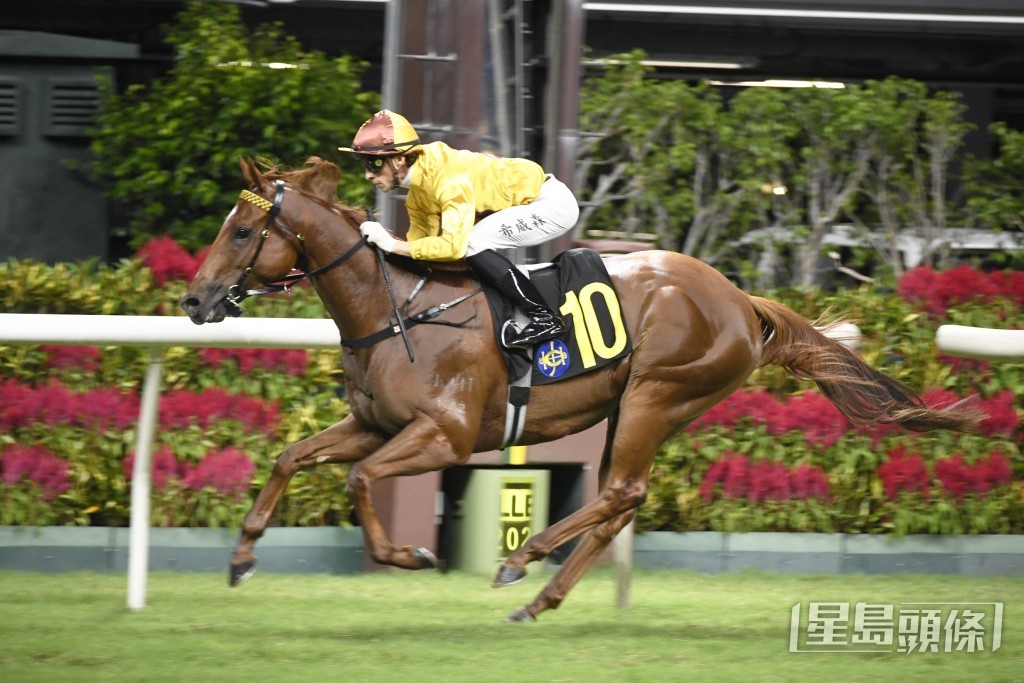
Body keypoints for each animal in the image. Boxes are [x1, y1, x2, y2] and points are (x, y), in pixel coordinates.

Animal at [181, 156, 980, 622]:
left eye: (245, 231)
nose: (194, 300)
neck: (396, 307)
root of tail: (741, 300)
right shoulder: (376, 424)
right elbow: (292, 456)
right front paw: (241, 557)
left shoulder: (442, 434)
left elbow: (360, 479)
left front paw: (408, 557)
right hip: (635, 407)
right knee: (619, 499)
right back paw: (540, 595)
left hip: (659, 392)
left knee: (621, 492)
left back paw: (521, 559)